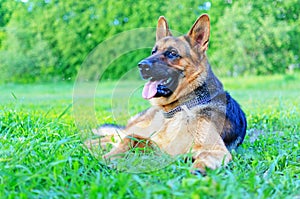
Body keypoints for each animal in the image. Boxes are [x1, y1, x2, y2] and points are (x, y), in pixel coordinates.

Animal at [85, 14, 247, 174]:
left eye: (172, 53)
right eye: (153, 52)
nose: (141, 66)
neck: (183, 107)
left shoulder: (215, 150)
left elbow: (205, 157)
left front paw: (199, 169)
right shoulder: (157, 143)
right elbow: (130, 139)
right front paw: (107, 157)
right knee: (114, 136)